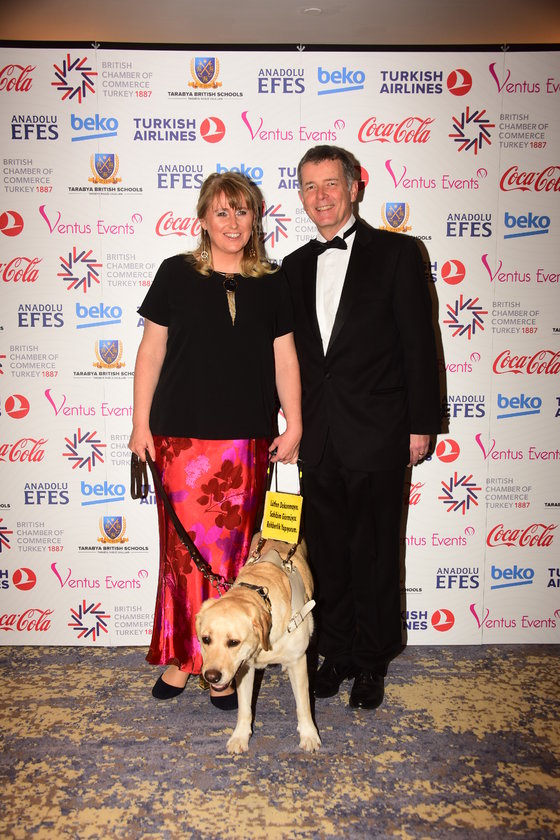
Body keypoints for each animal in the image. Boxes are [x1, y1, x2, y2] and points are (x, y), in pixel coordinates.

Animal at [195, 533, 321, 754]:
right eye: (206, 639)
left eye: (233, 642)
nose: (211, 677)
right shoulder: (244, 667)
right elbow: (245, 708)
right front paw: (239, 736)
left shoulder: (298, 662)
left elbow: (304, 705)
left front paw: (309, 735)